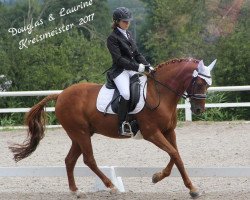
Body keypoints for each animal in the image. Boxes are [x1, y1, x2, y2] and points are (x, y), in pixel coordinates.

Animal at [9, 57, 216, 198]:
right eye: (199, 82)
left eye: (208, 84)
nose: (199, 110)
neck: (160, 93)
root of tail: (60, 95)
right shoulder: (152, 133)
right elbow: (173, 153)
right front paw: (188, 187)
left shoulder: (168, 131)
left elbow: (176, 155)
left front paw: (166, 179)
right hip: (80, 133)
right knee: (89, 160)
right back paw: (111, 186)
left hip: (80, 135)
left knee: (70, 160)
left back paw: (76, 191)